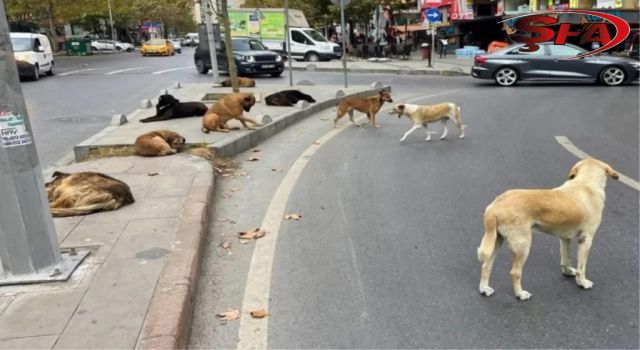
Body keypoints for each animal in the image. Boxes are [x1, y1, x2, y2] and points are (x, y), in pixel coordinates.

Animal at [480, 159, 620, 300]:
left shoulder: (565, 238)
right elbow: (582, 267)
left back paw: (484, 289)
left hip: (495, 242)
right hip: (523, 246)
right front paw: (582, 282)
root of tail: (495, 206)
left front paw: (568, 272)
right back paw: (520, 294)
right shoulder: (586, 239)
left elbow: (566, 258)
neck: (585, 183)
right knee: (515, 272)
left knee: (486, 265)